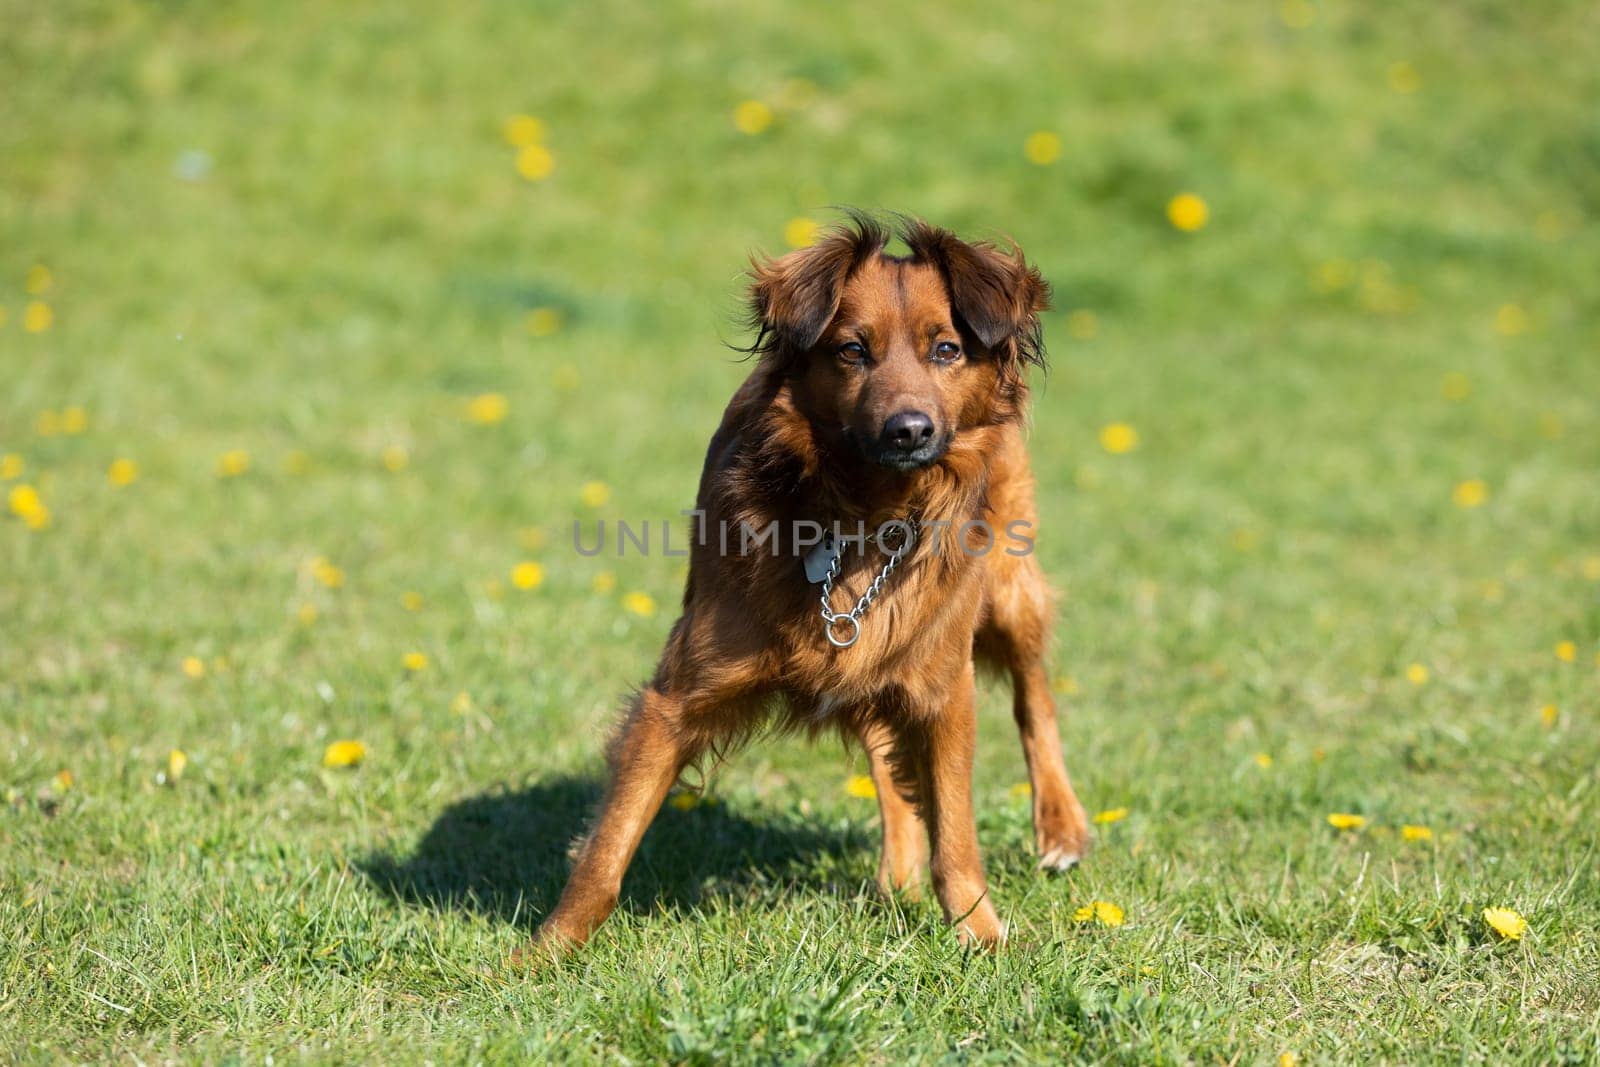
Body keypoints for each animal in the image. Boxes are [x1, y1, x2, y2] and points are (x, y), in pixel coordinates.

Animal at [531, 211, 1094, 959]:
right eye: (852, 350)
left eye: (946, 349)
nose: (909, 430)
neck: (866, 517)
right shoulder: (678, 696)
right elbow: (610, 844)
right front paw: (544, 951)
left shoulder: (943, 688)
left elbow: (956, 831)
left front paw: (980, 932)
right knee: (888, 760)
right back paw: (899, 876)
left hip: (1008, 592)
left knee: (1035, 698)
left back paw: (1060, 826)